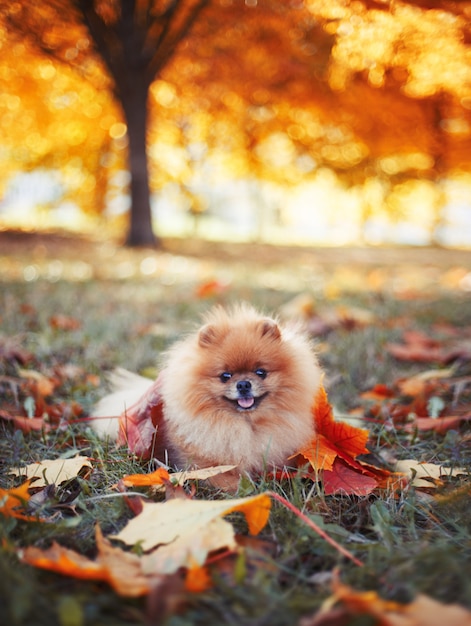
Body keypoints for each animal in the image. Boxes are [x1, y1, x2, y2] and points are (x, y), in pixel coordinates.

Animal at [93, 304, 320, 490]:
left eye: (261, 372)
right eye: (225, 376)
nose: (243, 384)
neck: (245, 425)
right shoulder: (201, 464)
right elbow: (220, 476)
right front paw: (240, 486)